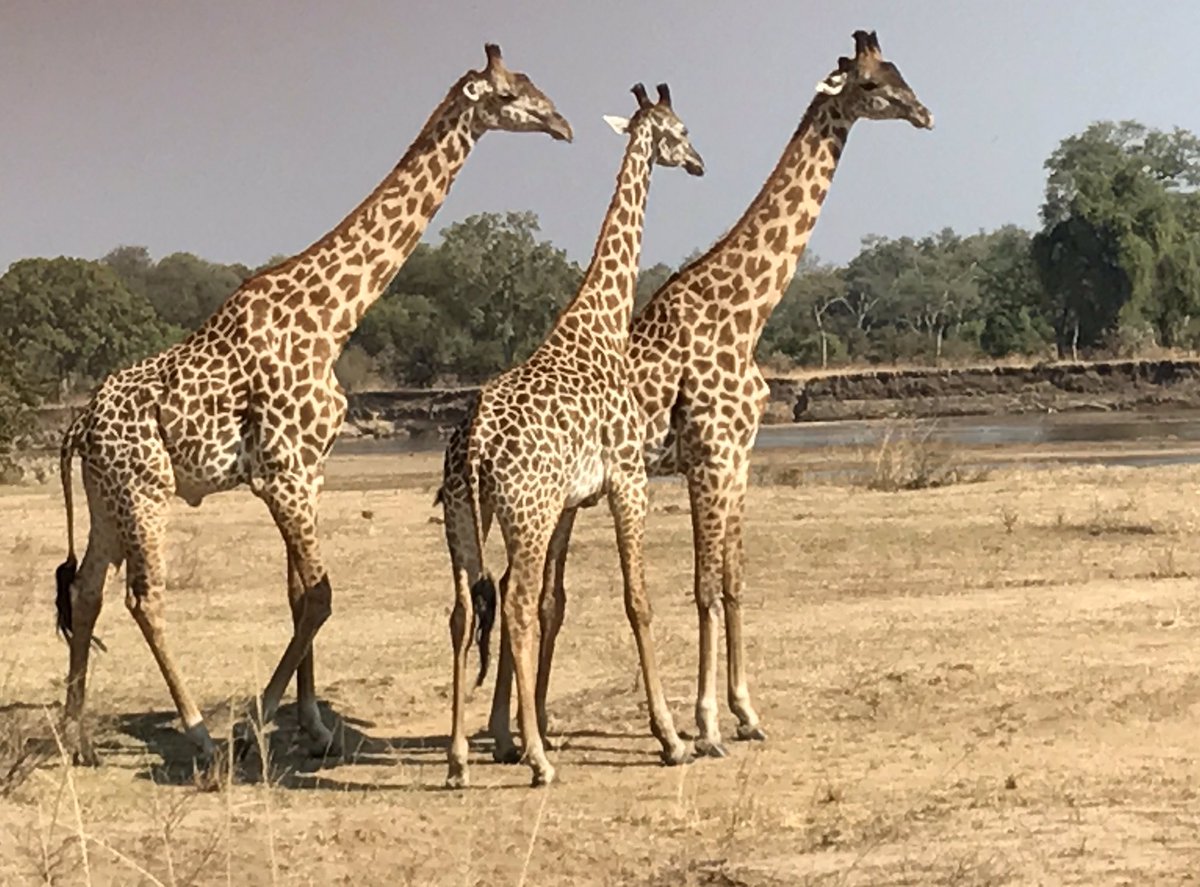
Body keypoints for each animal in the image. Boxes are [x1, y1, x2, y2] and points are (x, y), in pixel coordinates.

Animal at [52, 43, 572, 766]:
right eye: (506, 94)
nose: (562, 124)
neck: (333, 318)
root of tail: (78, 422)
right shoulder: (283, 473)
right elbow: (320, 595)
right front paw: (258, 724)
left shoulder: (312, 470)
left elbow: (298, 592)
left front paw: (314, 724)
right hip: (143, 491)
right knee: (144, 597)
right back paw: (199, 733)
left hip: (106, 498)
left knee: (87, 589)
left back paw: (77, 738)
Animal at [439, 82, 704, 788]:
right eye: (680, 131)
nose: (699, 163)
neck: (602, 324)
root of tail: (476, 442)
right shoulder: (628, 481)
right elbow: (636, 598)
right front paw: (671, 738)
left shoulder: (566, 505)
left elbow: (555, 604)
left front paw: (520, 728)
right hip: (523, 512)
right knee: (515, 602)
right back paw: (537, 762)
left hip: (466, 518)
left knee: (467, 608)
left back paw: (460, 759)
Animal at [521, 31, 933, 759]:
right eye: (871, 85)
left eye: (898, 71)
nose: (923, 112)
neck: (746, 313)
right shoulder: (710, 457)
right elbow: (705, 586)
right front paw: (707, 723)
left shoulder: (740, 457)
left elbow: (735, 580)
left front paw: (747, 711)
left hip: (574, 498)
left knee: (549, 595)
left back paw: (531, 729)